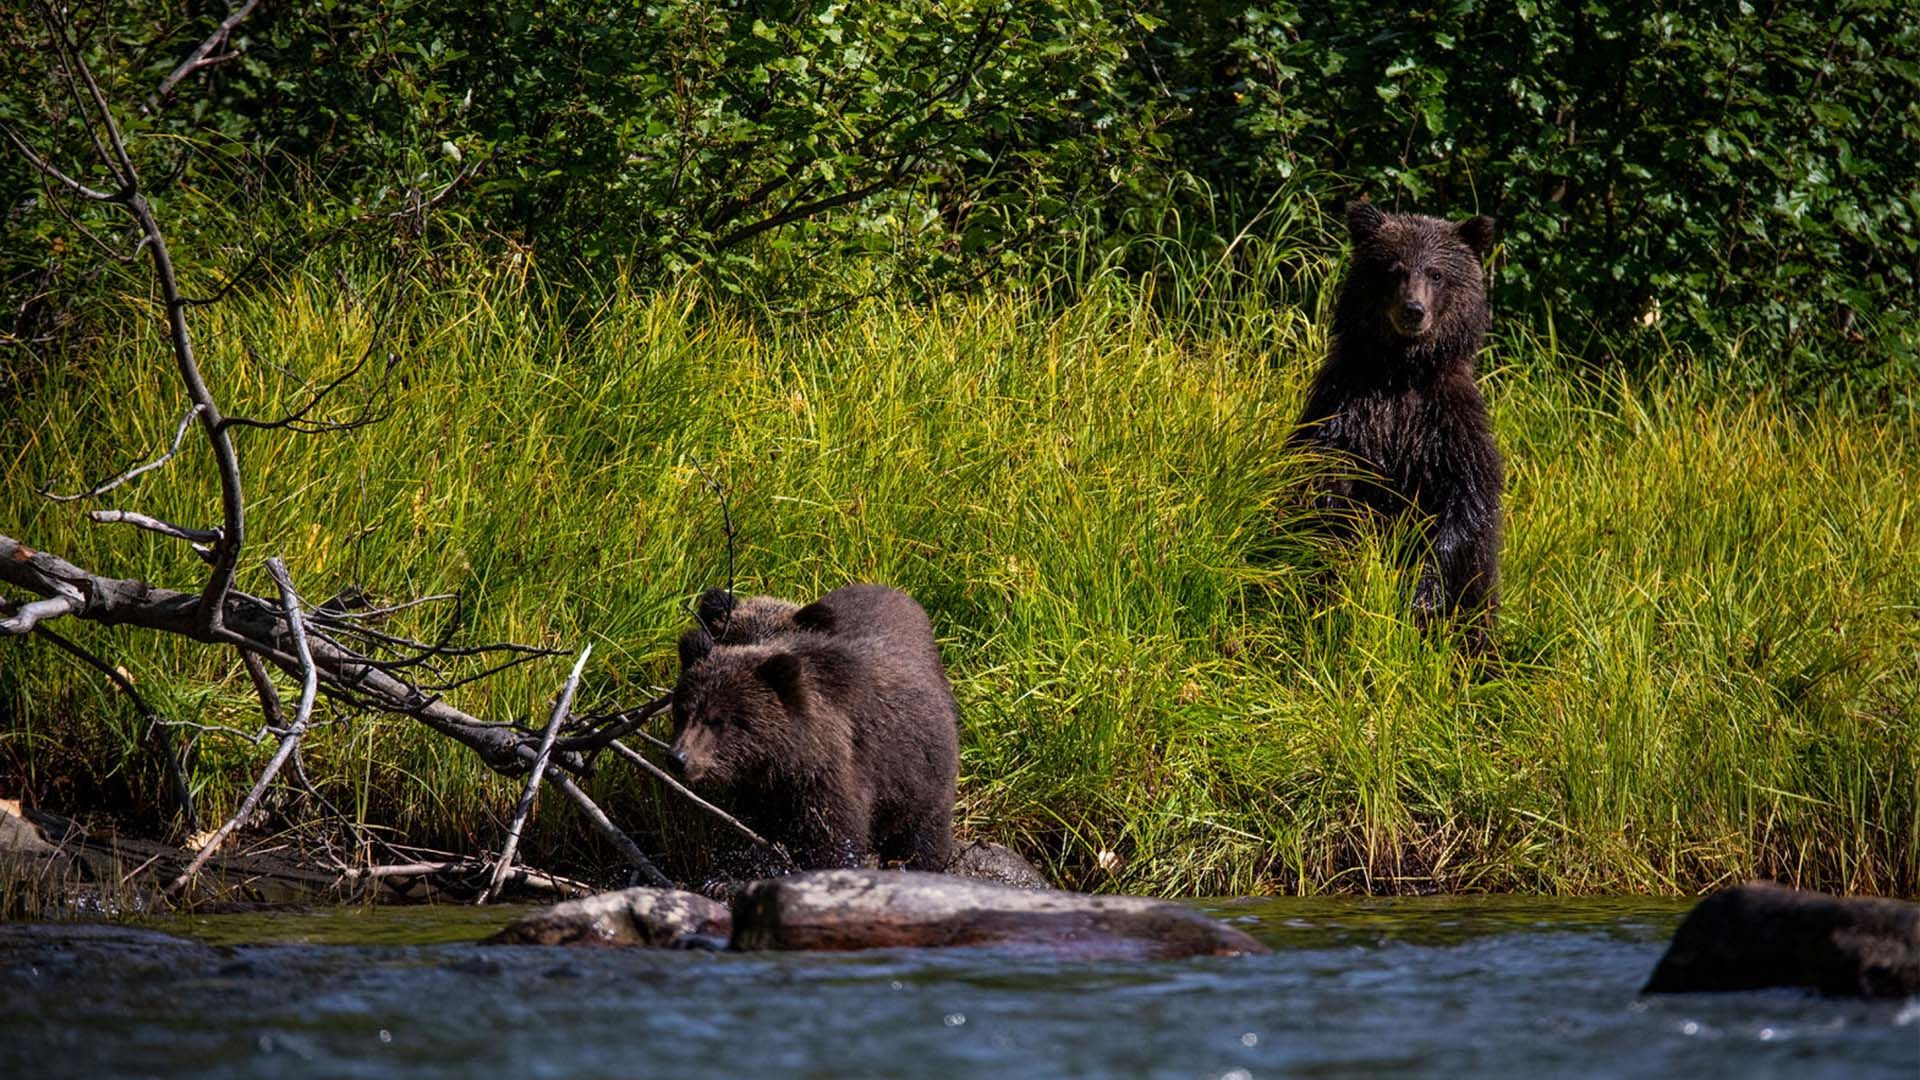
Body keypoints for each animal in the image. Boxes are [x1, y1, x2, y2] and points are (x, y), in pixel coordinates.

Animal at [668, 584, 960, 868]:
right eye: (732, 637)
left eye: (716, 720)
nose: (680, 758)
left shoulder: (832, 777)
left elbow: (831, 843)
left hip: (921, 776)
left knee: (922, 837)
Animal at [1297, 200, 1505, 634]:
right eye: (1394, 268)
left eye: (1437, 273)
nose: (1413, 310)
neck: (1403, 372)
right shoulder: (1347, 408)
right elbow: (1327, 478)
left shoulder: (1447, 424)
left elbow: (1466, 501)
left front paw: (1424, 594)